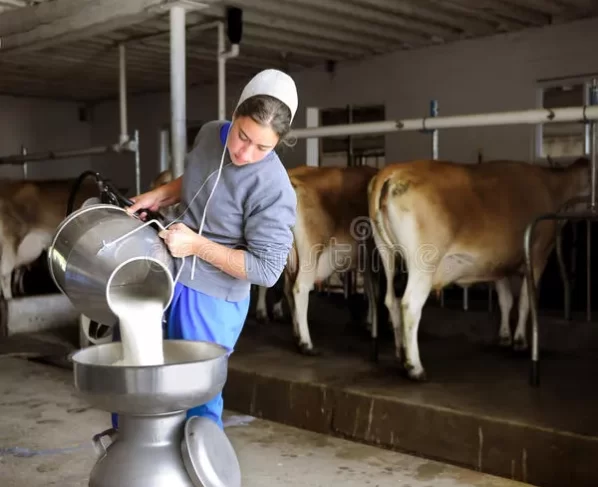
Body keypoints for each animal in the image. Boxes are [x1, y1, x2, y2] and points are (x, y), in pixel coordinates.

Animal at [370, 158, 592, 384]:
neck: (551, 187)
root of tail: (393, 171)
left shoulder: (497, 264)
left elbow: (505, 299)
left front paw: (504, 336)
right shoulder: (538, 255)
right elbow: (524, 301)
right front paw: (520, 341)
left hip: (386, 252)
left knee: (391, 300)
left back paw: (401, 354)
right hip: (424, 263)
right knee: (410, 304)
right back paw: (415, 368)